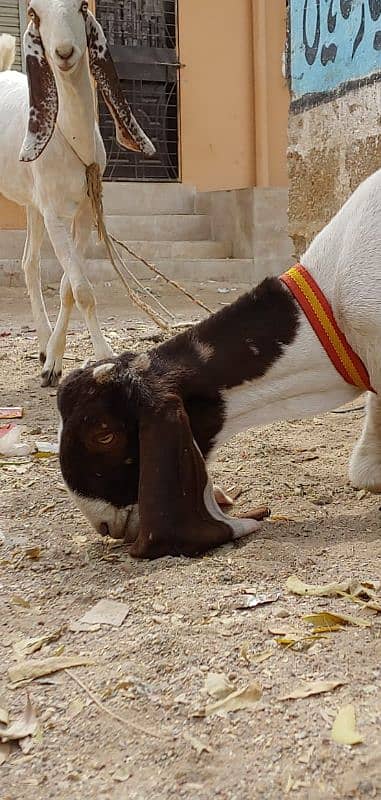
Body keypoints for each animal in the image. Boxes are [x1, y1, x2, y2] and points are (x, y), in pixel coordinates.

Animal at [0, 0, 154, 388]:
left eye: (83, 6)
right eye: (33, 12)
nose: (65, 53)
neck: (71, 139)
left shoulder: (83, 211)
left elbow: (70, 287)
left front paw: (53, 361)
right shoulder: (56, 215)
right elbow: (83, 289)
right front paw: (101, 358)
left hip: (33, 206)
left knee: (29, 263)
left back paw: (42, 345)